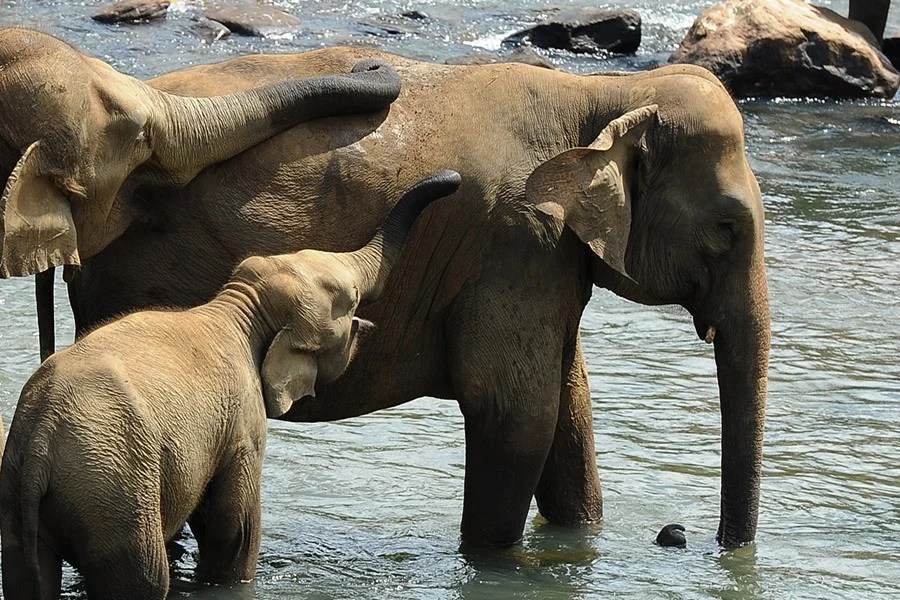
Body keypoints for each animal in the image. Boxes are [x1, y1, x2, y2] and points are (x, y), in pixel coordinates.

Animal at [0, 170, 462, 600]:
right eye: (347, 300)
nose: (453, 180)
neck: (238, 304)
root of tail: (39, 438)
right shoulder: (242, 421)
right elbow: (234, 529)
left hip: (22, 497)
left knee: (27, 574)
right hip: (112, 490)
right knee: (142, 577)